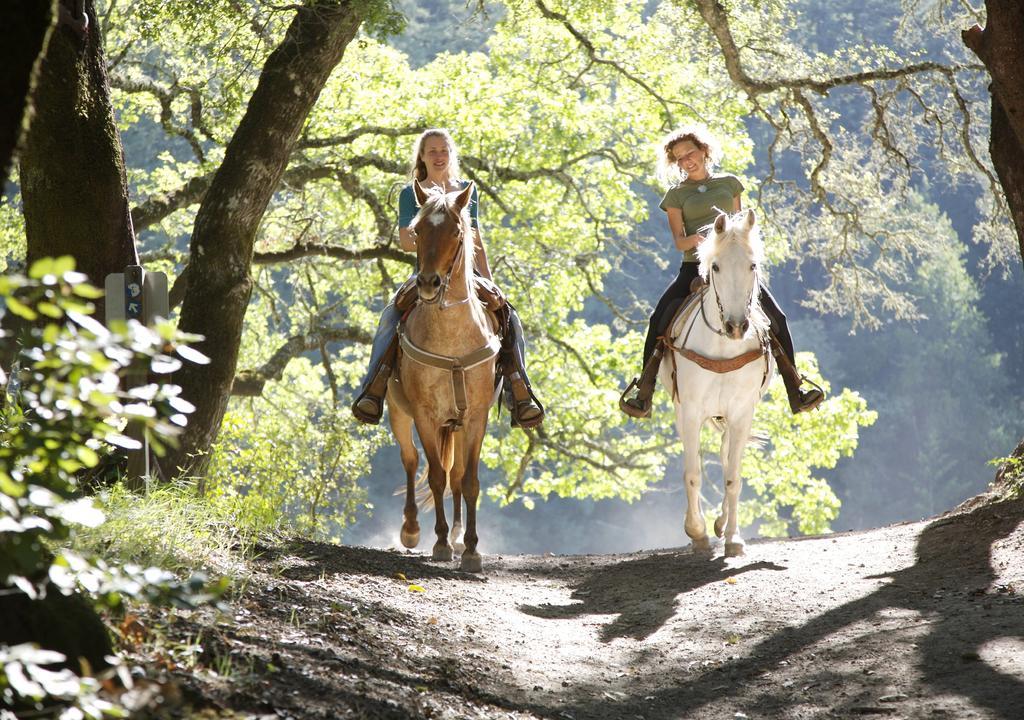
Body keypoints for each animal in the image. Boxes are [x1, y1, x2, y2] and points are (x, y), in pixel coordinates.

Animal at [385, 181, 499, 573]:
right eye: (418, 231)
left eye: (456, 232)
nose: (429, 284)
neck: (452, 341)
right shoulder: (425, 415)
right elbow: (434, 476)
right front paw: (439, 543)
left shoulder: (476, 417)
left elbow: (469, 481)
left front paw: (471, 550)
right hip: (398, 413)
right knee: (410, 460)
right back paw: (411, 529)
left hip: (458, 425)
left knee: (456, 475)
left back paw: (458, 534)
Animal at [659, 208, 770, 557]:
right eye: (717, 266)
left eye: (752, 265)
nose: (736, 326)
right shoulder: (691, 410)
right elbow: (693, 473)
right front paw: (697, 532)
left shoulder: (742, 413)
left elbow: (733, 476)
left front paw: (733, 538)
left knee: (724, 456)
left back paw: (721, 524)